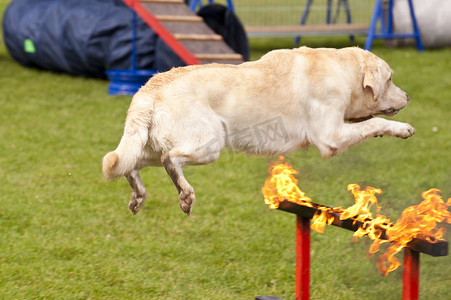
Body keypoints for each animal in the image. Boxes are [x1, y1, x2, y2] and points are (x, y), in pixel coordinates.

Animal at [104, 46, 414, 216]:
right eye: (390, 79)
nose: (408, 97)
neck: (343, 71)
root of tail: (147, 89)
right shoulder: (331, 137)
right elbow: (374, 123)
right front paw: (403, 129)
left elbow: (369, 123)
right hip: (209, 144)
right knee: (170, 161)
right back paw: (185, 196)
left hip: (150, 146)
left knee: (128, 165)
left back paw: (138, 197)